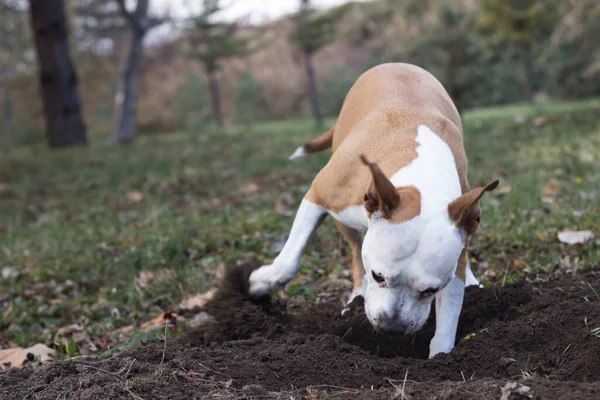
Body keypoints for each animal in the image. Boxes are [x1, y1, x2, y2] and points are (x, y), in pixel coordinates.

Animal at [247, 63, 496, 360]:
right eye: (379, 276)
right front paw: (260, 283)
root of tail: (397, 63)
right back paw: (357, 295)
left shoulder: (457, 231)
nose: (392, 327)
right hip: (344, 221)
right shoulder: (318, 196)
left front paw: (442, 354)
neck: (422, 175)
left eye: (431, 290)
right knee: (356, 250)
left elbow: (450, 308)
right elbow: (288, 262)